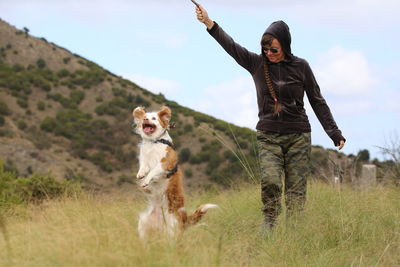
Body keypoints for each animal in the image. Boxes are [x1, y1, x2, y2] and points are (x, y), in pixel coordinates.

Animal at [133, 105, 217, 240]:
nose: (145, 118)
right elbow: (144, 167)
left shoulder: (165, 162)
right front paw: (141, 175)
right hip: (144, 223)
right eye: (145, 116)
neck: (154, 141)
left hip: (172, 226)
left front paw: (146, 180)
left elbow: (153, 170)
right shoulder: (144, 159)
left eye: (154, 118)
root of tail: (185, 218)